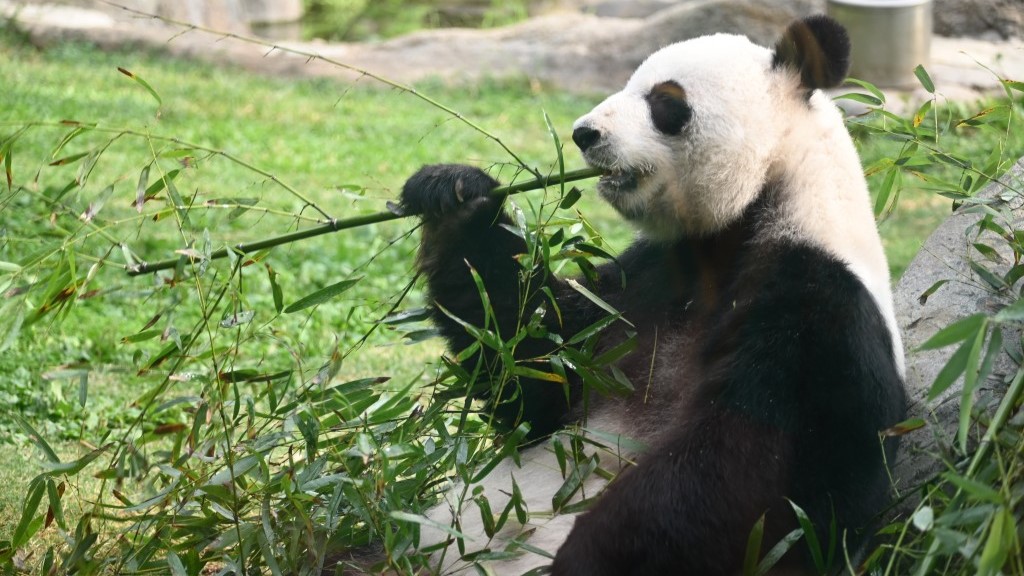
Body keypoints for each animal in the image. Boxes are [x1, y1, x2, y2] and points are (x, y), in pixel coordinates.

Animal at [391, 13, 905, 573]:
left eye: (665, 102)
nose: (584, 134)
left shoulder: (815, 309)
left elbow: (741, 478)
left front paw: (582, 555)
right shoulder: (644, 283)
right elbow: (536, 359)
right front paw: (456, 196)